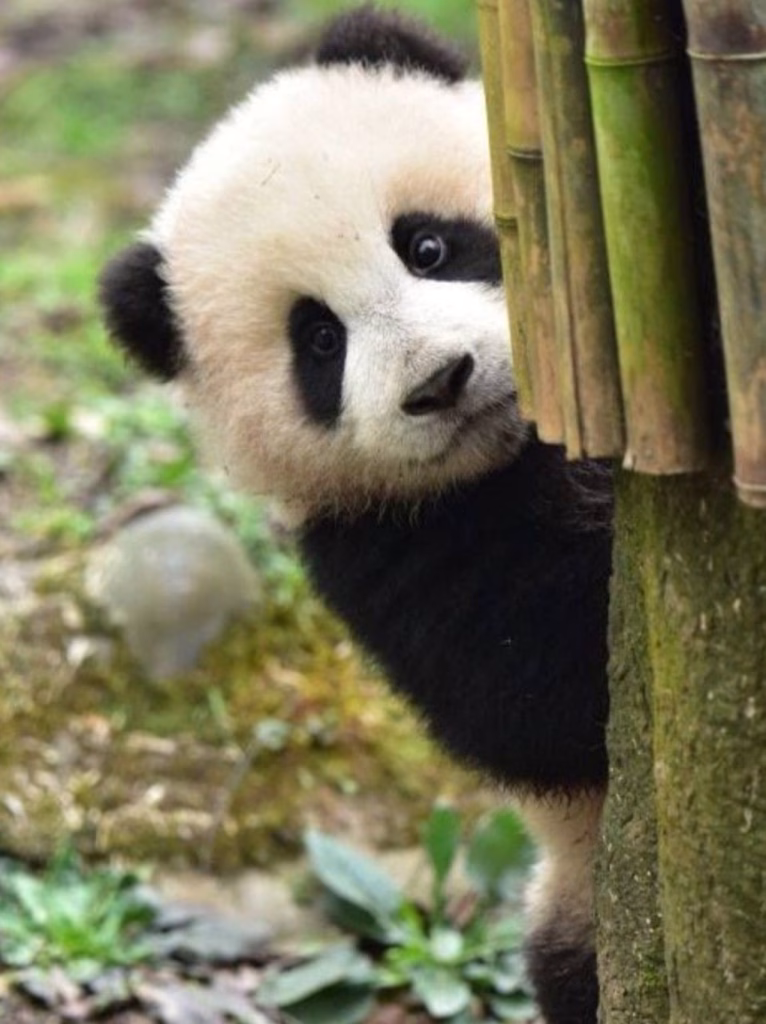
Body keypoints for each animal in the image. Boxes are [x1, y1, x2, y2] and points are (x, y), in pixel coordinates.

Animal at [99, 7, 614, 1023]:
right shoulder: (384, 549)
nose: (441, 381)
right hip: (579, 902)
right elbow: (539, 696)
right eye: (320, 341)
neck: (510, 455)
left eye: (426, 246)